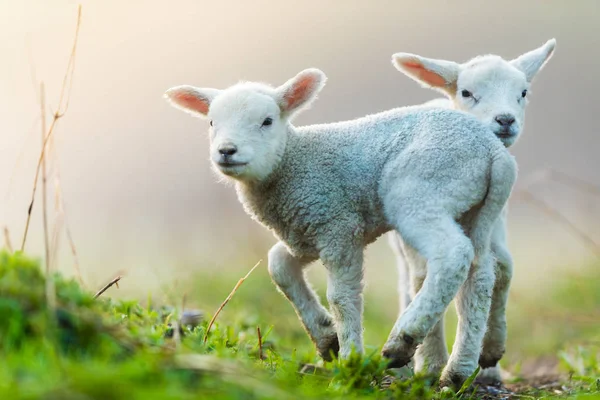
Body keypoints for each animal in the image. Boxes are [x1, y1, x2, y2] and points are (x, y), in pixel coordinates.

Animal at [163, 67, 516, 386]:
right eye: (212, 122)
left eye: (267, 121)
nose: (226, 151)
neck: (293, 162)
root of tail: (493, 152)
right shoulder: (305, 230)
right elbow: (279, 265)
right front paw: (326, 338)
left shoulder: (337, 224)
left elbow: (341, 297)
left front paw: (350, 362)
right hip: (474, 210)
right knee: (480, 274)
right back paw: (461, 368)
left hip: (423, 190)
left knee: (453, 254)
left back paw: (403, 341)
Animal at [386, 38, 556, 384]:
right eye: (467, 92)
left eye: (523, 92)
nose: (505, 120)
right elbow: (426, 279)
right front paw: (432, 361)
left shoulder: (494, 228)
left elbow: (502, 271)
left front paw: (488, 354)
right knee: (417, 281)